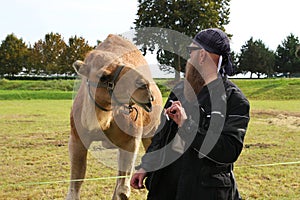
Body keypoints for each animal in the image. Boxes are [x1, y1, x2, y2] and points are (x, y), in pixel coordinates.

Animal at [67, 34, 163, 198]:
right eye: (103, 76)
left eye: (123, 62)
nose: (145, 86)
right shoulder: (77, 138)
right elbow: (75, 187)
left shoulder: (131, 140)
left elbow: (123, 190)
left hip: (151, 132)